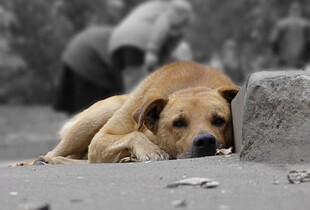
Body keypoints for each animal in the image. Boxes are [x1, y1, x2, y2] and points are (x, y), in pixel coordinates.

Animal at [18, 61, 239, 166]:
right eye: (178, 123)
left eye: (219, 120)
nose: (206, 141)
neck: (191, 85)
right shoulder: (100, 139)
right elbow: (134, 134)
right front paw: (151, 150)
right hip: (96, 118)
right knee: (56, 153)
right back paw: (38, 160)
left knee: (84, 160)